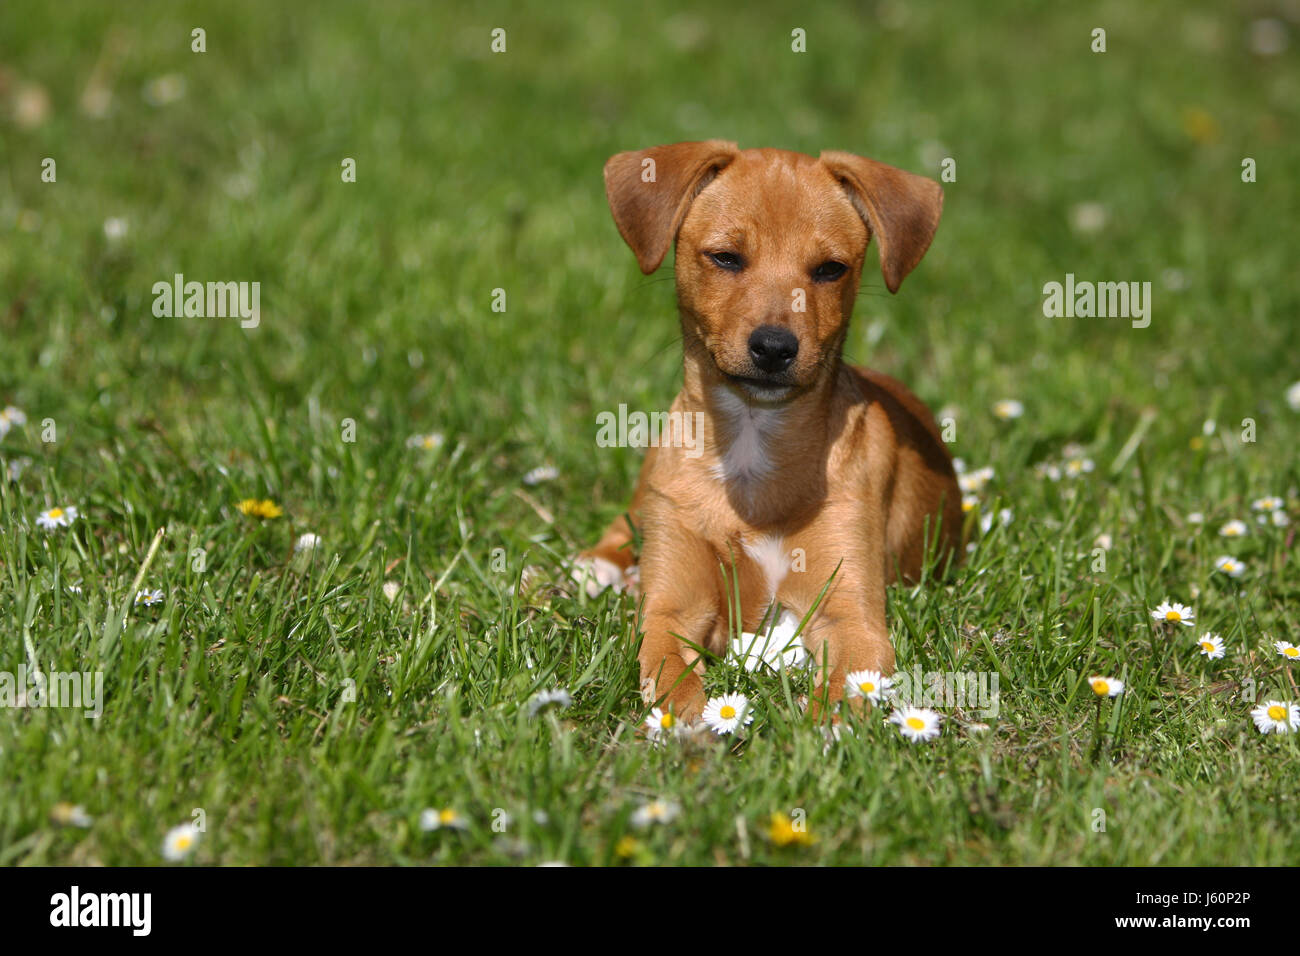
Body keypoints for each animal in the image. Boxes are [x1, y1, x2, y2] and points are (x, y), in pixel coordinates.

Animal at [585, 141, 961, 723]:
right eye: (725, 257)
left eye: (831, 270)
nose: (774, 347)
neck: (750, 444)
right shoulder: (672, 609)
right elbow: (670, 675)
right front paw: (687, 724)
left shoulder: (851, 617)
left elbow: (846, 690)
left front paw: (818, 730)